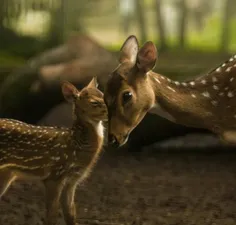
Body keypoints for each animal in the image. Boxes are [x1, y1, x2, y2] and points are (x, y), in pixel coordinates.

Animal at [0, 77, 107, 225]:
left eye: (103, 95)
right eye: (94, 102)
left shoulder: (72, 181)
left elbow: (71, 214)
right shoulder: (54, 175)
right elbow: (51, 216)